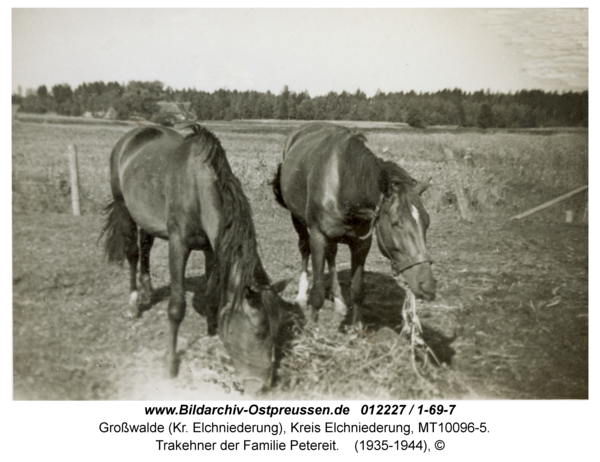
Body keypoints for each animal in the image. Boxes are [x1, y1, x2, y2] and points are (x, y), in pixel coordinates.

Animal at [102, 124, 290, 392]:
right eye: (259, 331)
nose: (262, 386)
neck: (199, 188)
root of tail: (130, 137)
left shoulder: (211, 248)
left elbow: (212, 296)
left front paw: (212, 333)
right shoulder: (178, 246)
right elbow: (176, 308)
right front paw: (170, 363)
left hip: (147, 217)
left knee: (146, 246)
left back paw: (148, 290)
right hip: (124, 209)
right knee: (133, 254)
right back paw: (134, 304)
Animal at [274, 122, 436, 324]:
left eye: (427, 222)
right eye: (395, 223)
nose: (427, 285)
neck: (343, 185)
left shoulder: (362, 243)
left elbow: (358, 290)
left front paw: (356, 326)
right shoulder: (318, 236)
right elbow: (317, 292)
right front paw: (313, 327)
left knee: (332, 254)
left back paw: (338, 300)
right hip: (297, 219)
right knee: (304, 248)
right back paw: (302, 295)